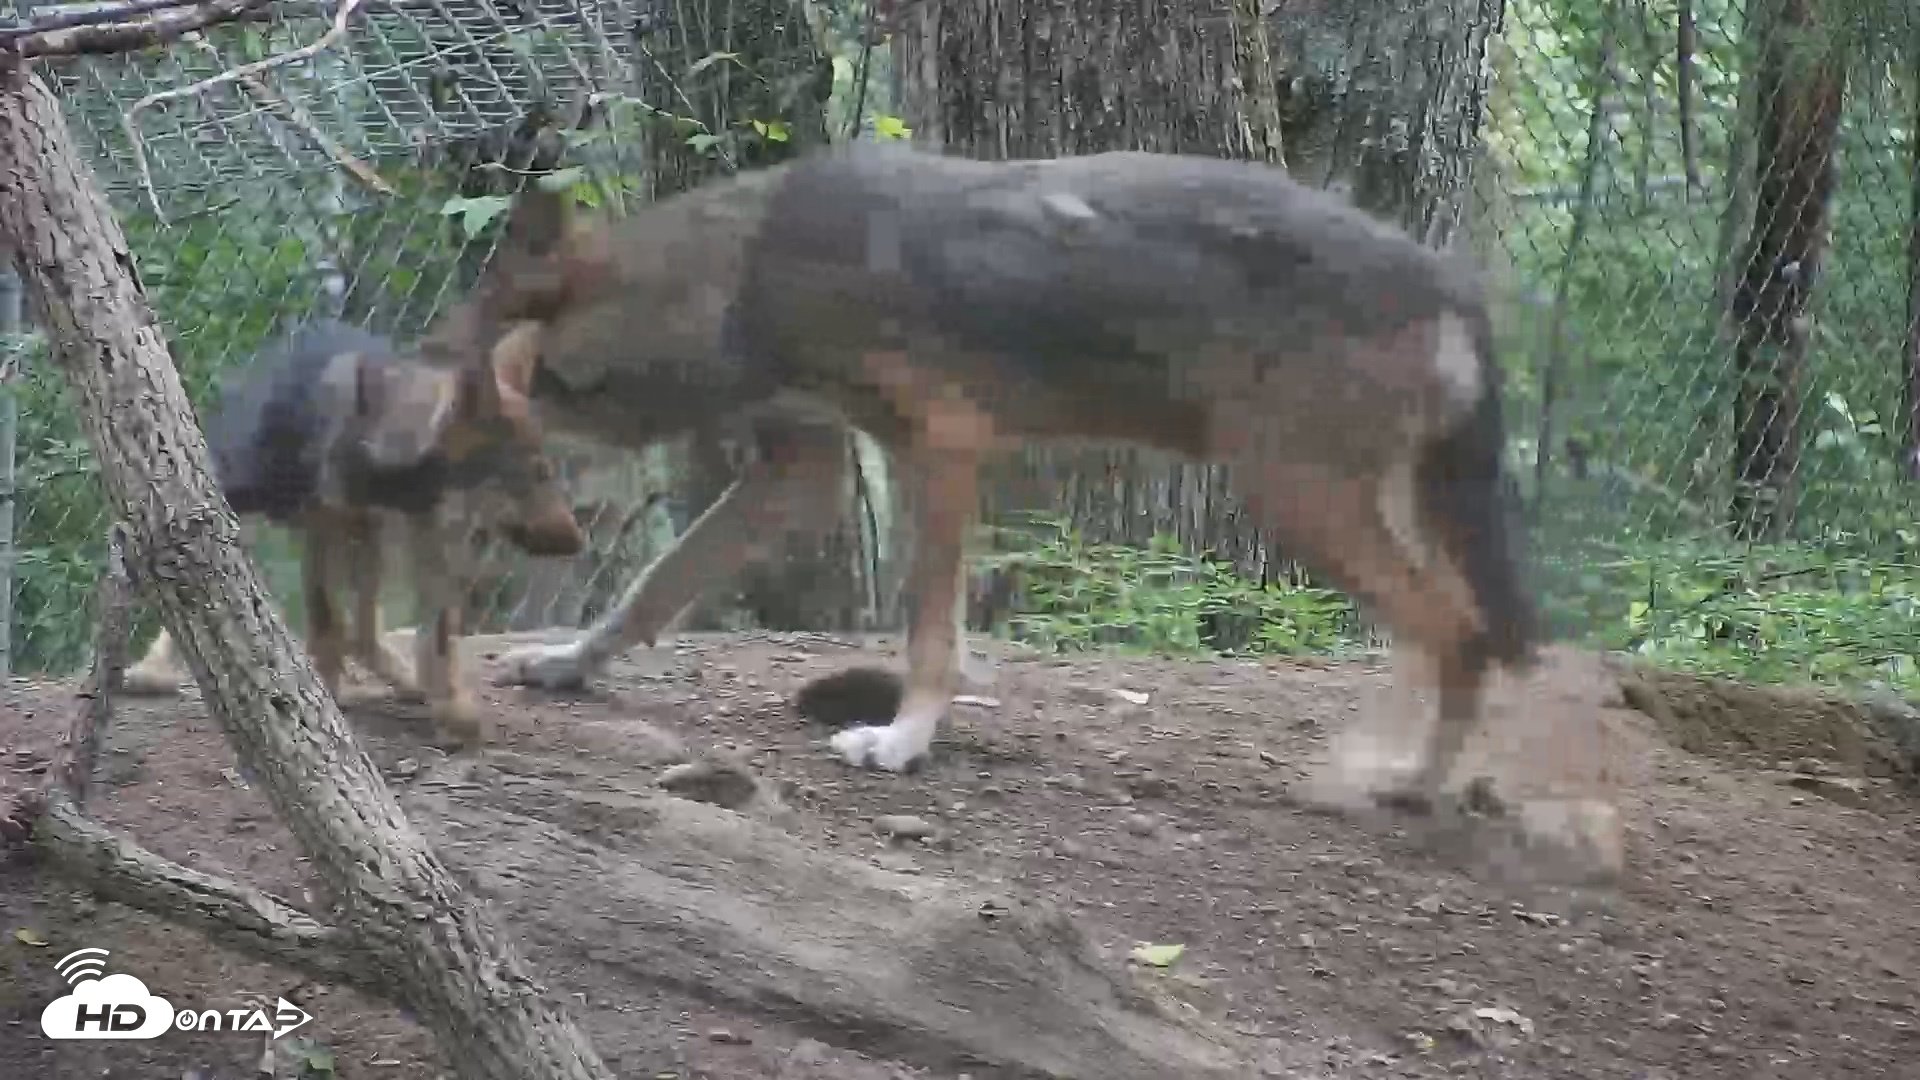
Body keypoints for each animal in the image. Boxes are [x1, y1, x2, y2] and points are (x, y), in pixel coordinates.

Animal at [122, 318, 586, 745]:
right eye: (535, 475)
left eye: (549, 472)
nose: (578, 542)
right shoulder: (330, 520)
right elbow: (327, 622)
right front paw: (324, 699)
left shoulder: (425, 539)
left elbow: (435, 638)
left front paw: (450, 709)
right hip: (250, 510)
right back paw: (151, 671)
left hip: (365, 538)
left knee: (362, 630)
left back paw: (403, 679)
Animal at [418, 143, 1539, 809]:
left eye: (448, 376)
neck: (735, 285)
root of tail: (1453, 282)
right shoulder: (804, 467)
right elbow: (654, 588)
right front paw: (570, 664)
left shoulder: (943, 447)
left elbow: (929, 636)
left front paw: (903, 742)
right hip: (1351, 505)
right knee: (1454, 634)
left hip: (1293, 499)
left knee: (1463, 632)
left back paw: (1413, 783)